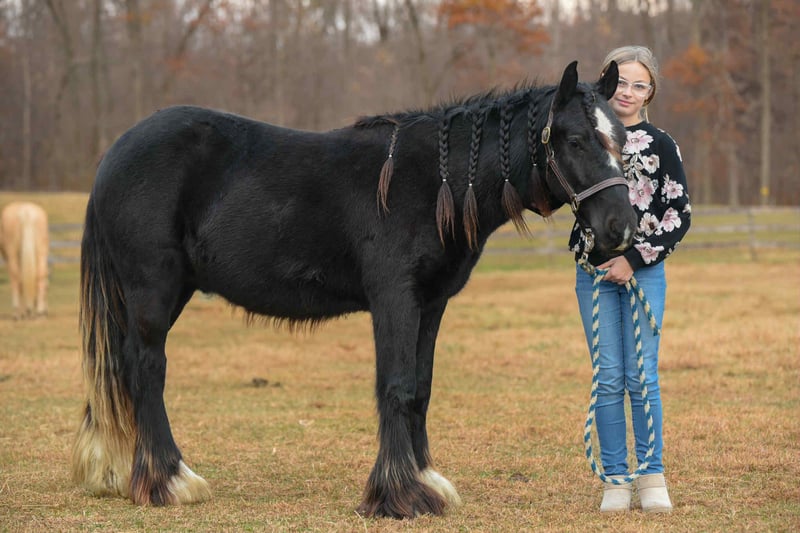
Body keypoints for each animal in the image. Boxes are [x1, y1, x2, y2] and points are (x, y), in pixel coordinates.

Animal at [72, 60, 637, 518]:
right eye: (575, 139)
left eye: (622, 138)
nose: (621, 228)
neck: (432, 182)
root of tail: (113, 155)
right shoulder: (394, 298)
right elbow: (397, 386)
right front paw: (399, 495)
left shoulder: (431, 303)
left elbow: (421, 389)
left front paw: (425, 480)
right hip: (152, 289)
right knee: (146, 369)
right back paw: (169, 481)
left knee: (122, 368)